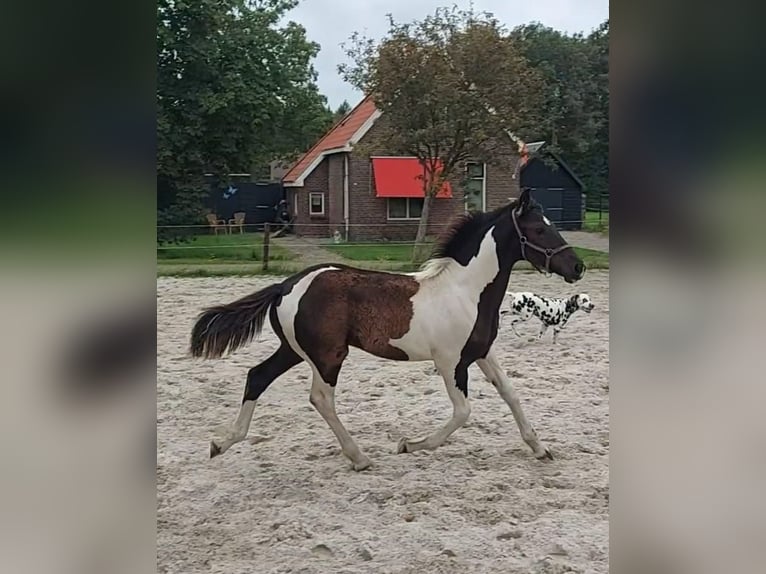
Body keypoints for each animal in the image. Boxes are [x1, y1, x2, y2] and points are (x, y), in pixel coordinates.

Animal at [194, 191, 588, 470]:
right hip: (328, 355)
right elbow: (463, 412)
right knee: (320, 398)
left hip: (294, 350)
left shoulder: (482, 353)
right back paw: (359, 458)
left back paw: (221, 443)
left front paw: (540, 448)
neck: (466, 291)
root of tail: (286, 285)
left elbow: (511, 394)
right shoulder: (450, 363)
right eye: (539, 229)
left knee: (257, 376)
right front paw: (409, 445)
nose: (578, 266)